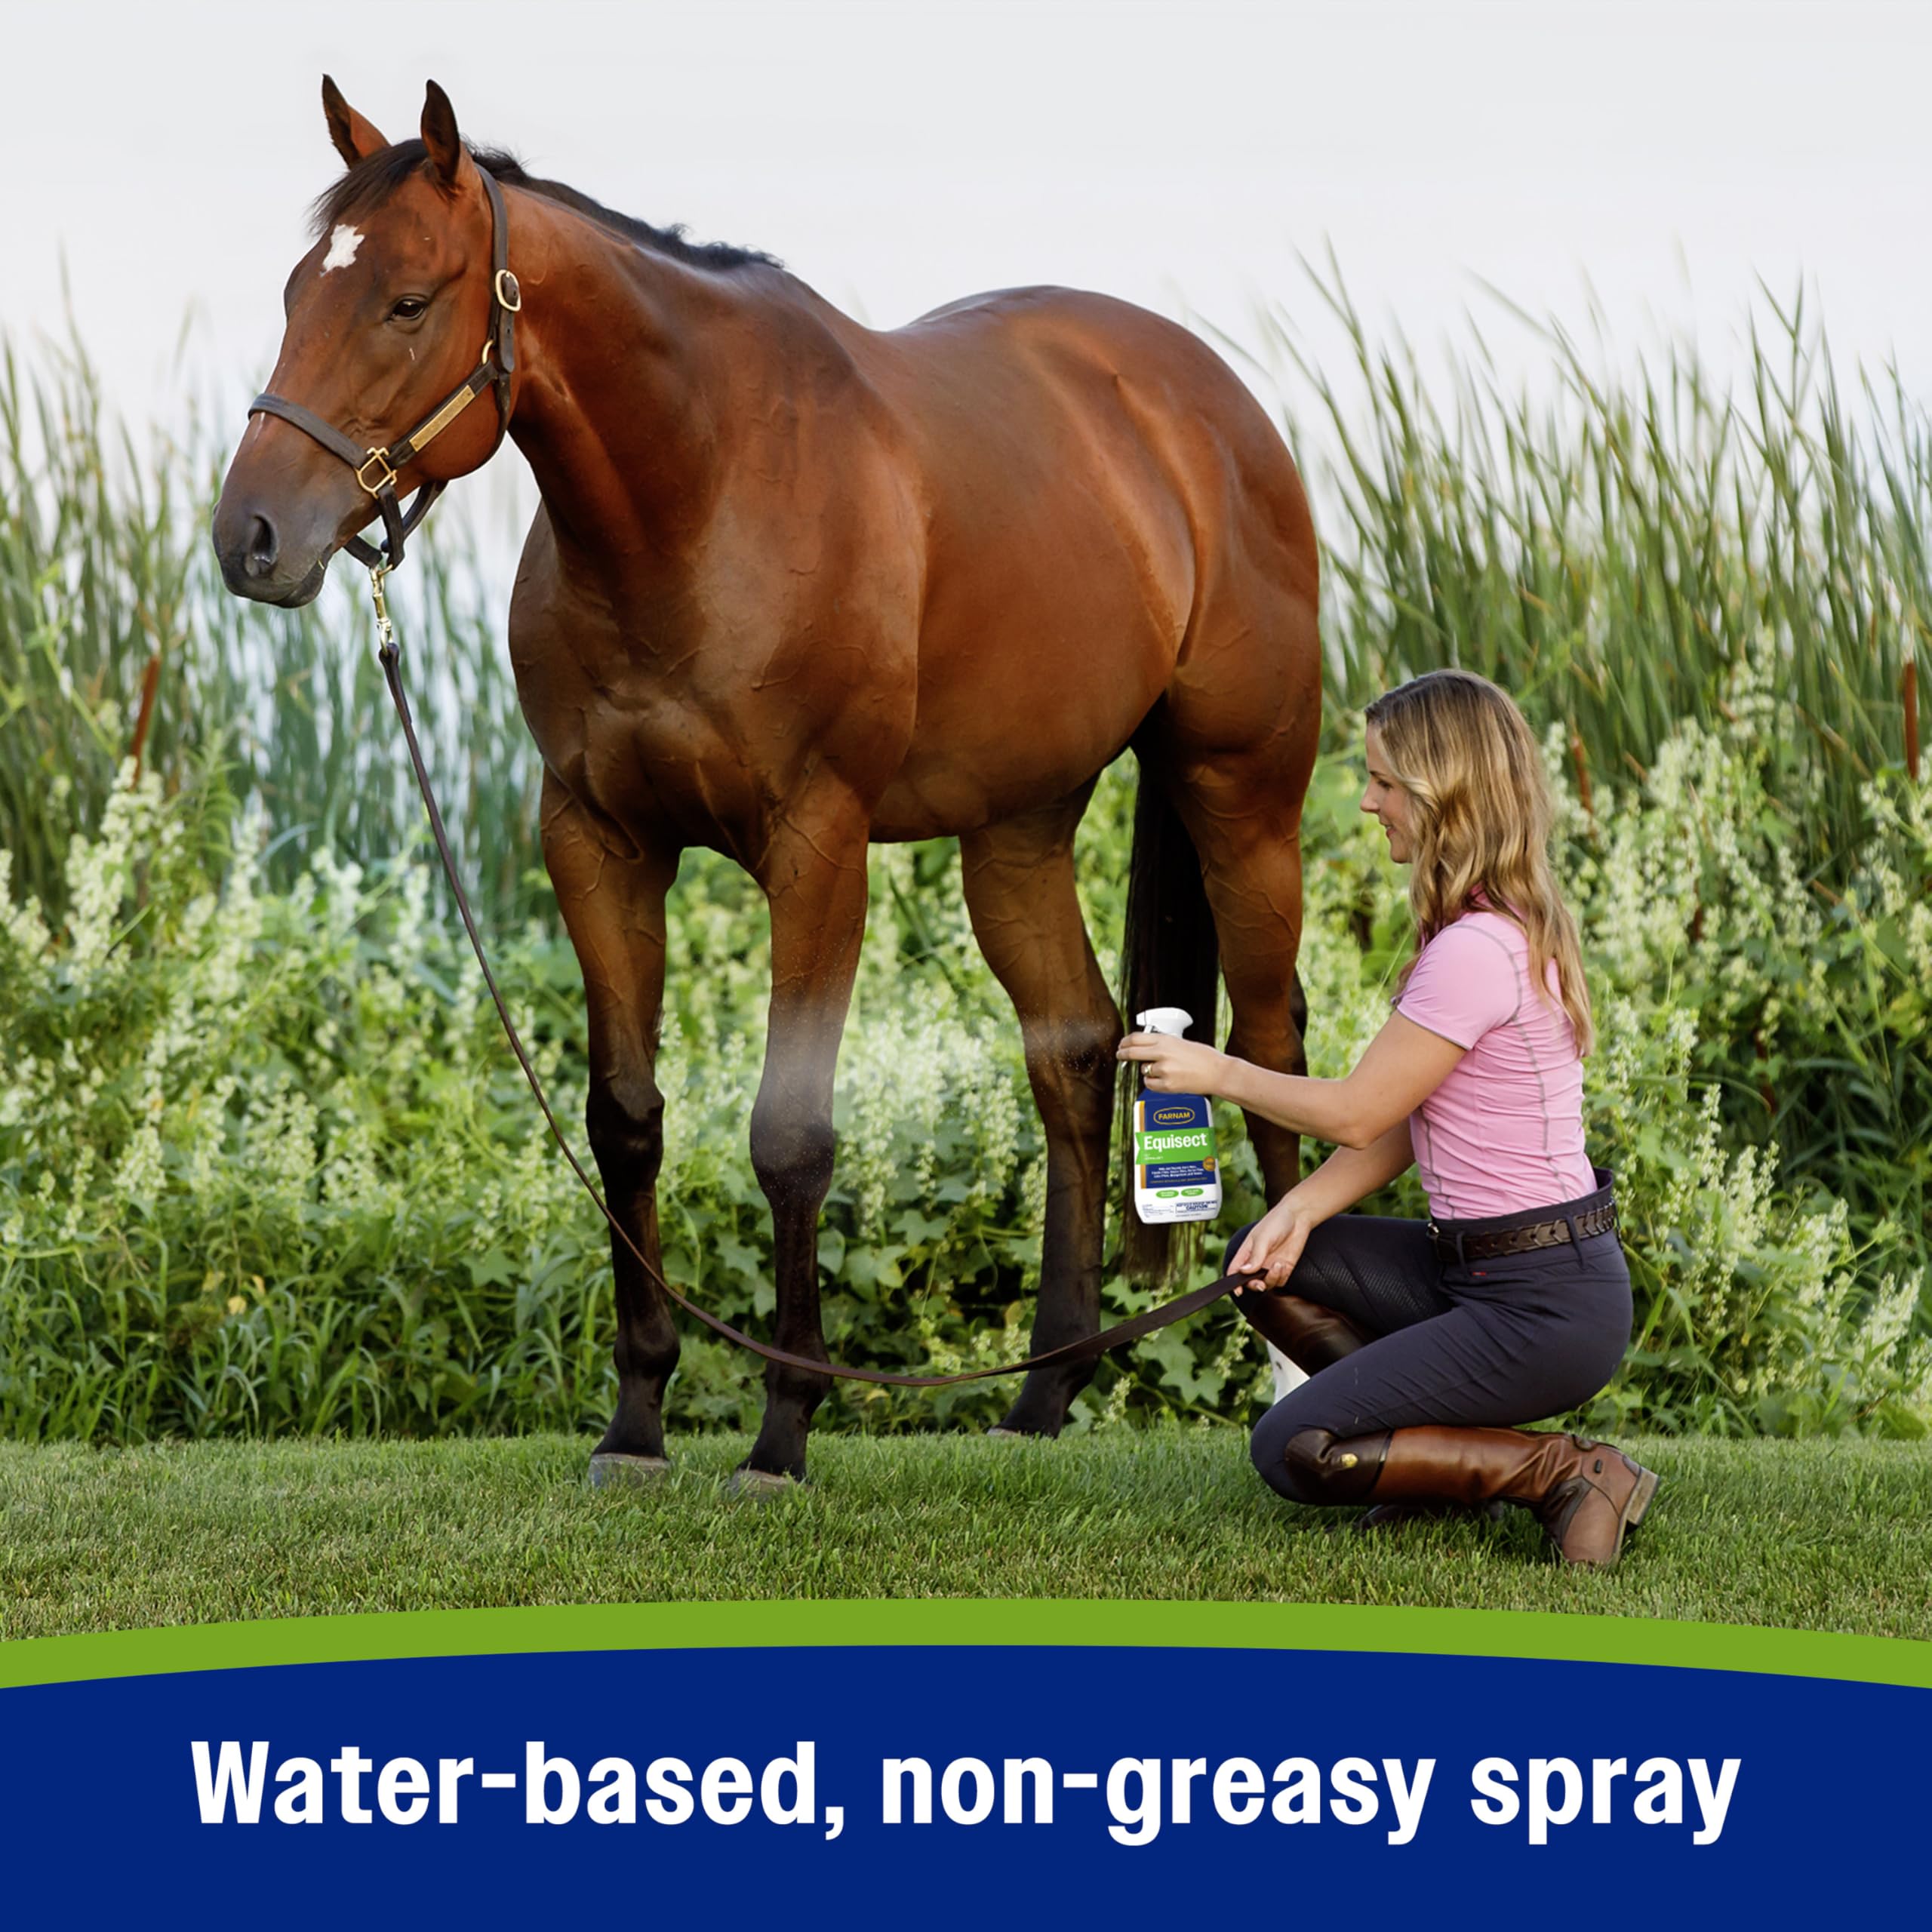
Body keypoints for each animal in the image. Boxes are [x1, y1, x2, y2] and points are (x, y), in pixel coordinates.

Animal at [213, 79, 1322, 1488]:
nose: (251, 537)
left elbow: (792, 1137)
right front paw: (636, 1422)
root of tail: (1203, 403)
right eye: (299, 289)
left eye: (407, 302)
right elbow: (625, 1120)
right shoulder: (597, 840)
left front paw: (783, 1433)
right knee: (1072, 1047)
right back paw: (1041, 1394)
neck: (701, 493)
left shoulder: (818, 846)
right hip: (1017, 829)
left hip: (1241, 791)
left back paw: (1296, 1370)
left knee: (1272, 1040)